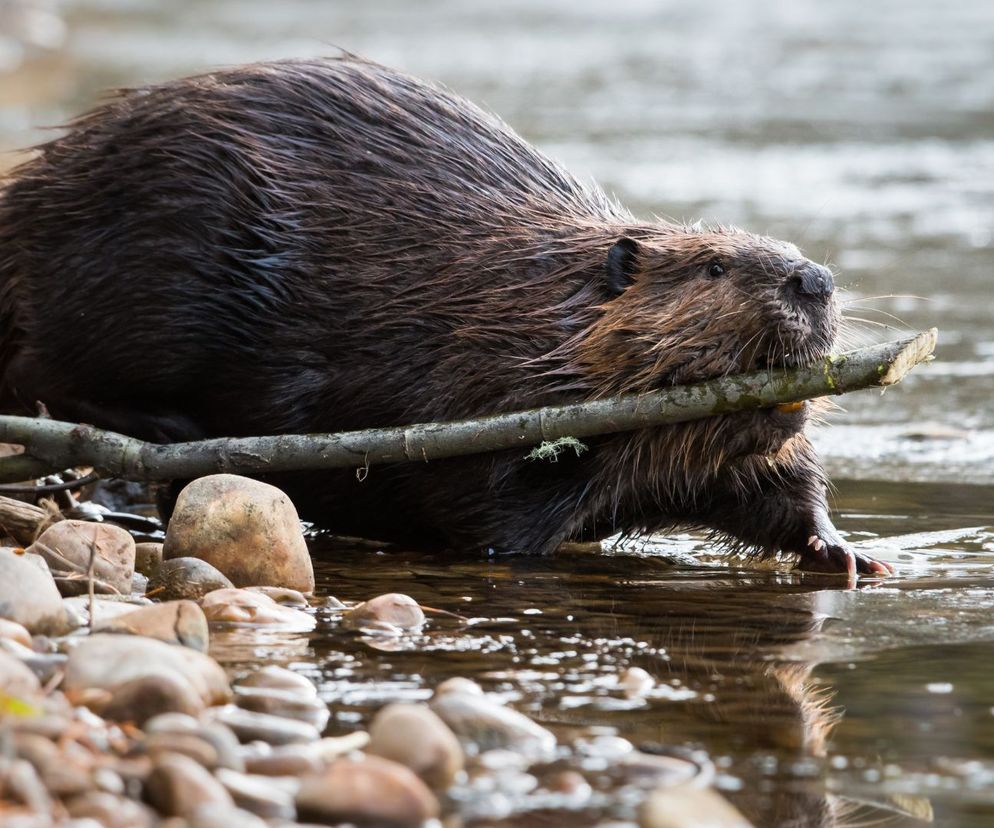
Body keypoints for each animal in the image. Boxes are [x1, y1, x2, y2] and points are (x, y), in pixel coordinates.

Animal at [0, 58, 888, 580]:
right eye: (714, 267)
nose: (814, 279)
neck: (541, 304)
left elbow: (776, 484)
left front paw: (845, 554)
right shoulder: (479, 383)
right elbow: (486, 504)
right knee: (56, 372)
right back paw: (161, 431)